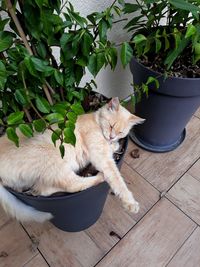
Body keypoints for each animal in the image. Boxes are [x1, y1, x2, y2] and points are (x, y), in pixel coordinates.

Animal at [0, 98, 144, 224]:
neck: (95, 121)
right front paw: (130, 203)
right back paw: (99, 176)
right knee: (71, 185)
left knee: (42, 190)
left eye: (121, 132)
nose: (112, 137)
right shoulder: (101, 158)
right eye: (111, 125)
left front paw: (115, 144)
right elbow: (117, 179)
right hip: (56, 163)